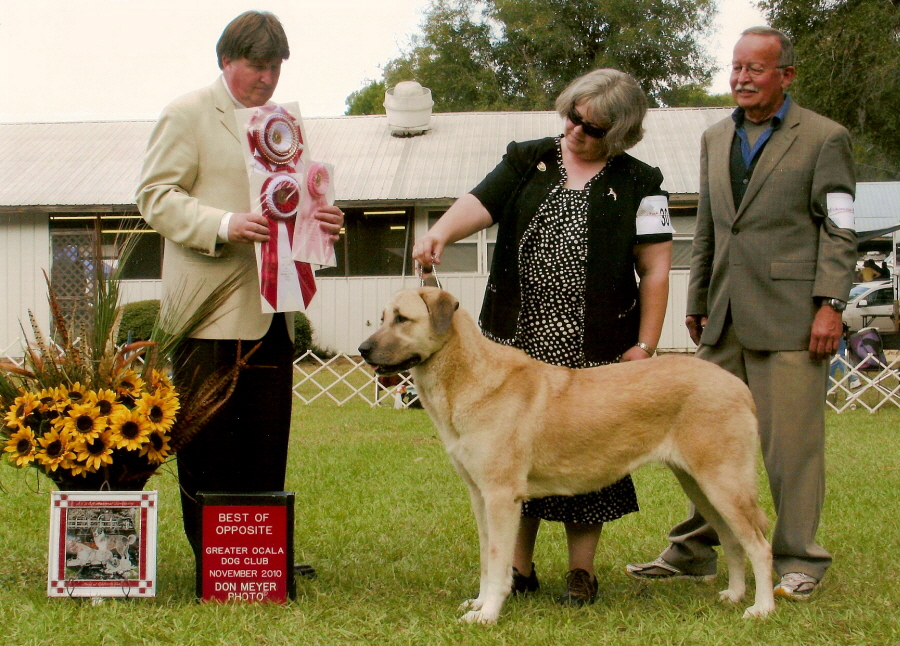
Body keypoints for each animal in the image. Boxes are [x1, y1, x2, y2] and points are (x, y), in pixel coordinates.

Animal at [358, 292, 772, 624]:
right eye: (382, 316)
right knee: (733, 541)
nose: (362, 350)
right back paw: (734, 595)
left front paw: (488, 614)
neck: (466, 375)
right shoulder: (479, 496)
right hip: (700, 485)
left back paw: (762, 608)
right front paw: (478, 604)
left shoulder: (501, 496)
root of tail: (739, 386)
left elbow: (497, 560)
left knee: (759, 545)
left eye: (402, 318)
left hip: (724, 483)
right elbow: (485, 560)